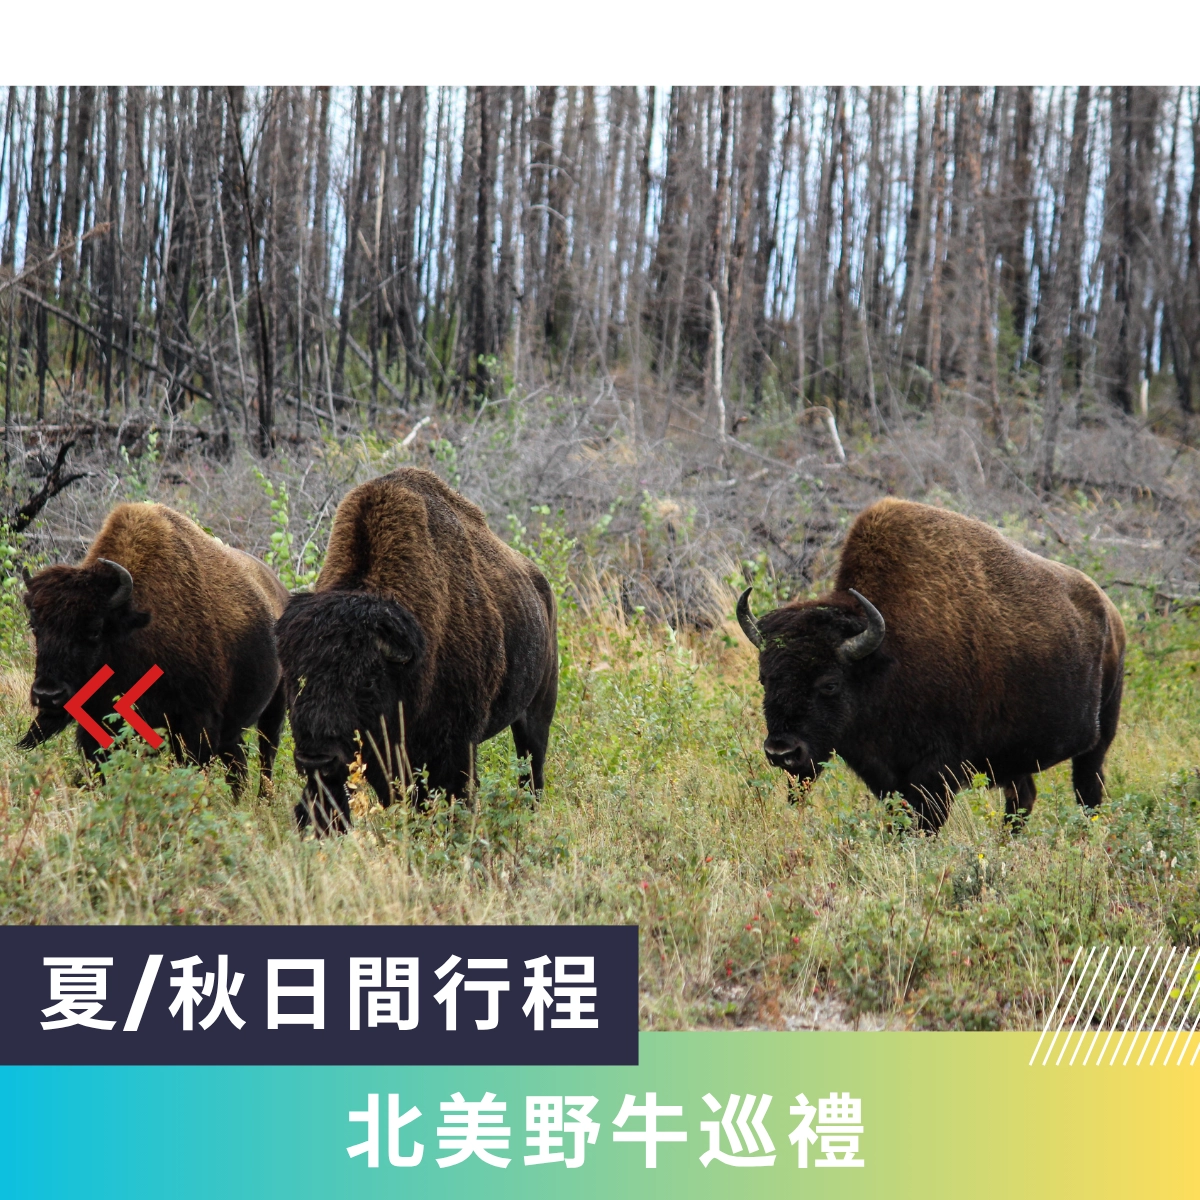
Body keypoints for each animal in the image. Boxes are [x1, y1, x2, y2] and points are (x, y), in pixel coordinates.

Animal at [20, 502, 289, 794]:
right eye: (35, 626)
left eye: (95, 630)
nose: (48, 695)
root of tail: (280, 591)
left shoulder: (197, 723)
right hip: (234, 730)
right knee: (238, 767)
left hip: (275, 708)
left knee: (266, 757)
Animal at [274, 466, 559, 833]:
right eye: (295, 680)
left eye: (367, 681)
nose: (316, 757)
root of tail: (542, 589)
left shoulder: (454, 745)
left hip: (537, 712)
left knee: (532, 769)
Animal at [737, 498, 1126, 831]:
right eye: (764, 679)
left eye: (829, 683)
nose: (782, 751)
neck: (884, 656)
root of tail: (1111, 615)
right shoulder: (886, 776)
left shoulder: (935, 773)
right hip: (1015, 757)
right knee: (1022, 799)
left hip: (1099, 741)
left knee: (1087, 794)